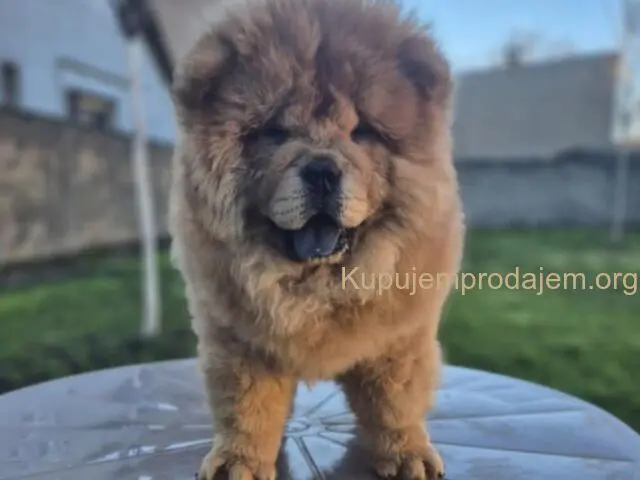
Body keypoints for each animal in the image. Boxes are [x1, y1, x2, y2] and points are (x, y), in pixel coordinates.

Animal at [168, 0, 464, 478]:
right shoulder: (239, 340)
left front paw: (407, 454)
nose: (322, 170)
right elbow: (246, 408)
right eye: (275, 132)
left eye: (362, 132)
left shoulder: (399, 338)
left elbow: (396, 402)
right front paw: (238, 462)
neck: (318, 286)